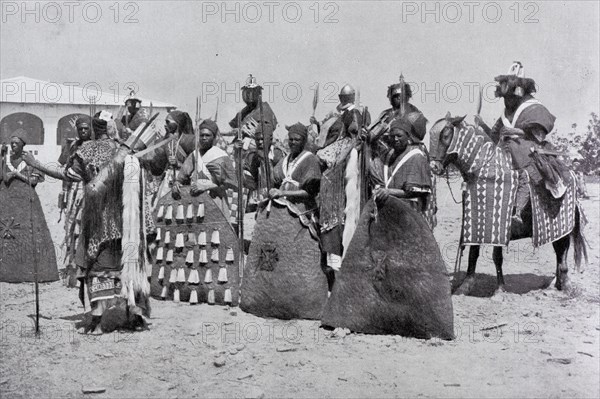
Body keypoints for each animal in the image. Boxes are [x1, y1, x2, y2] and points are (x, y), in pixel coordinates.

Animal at [428, 114, 588, 296]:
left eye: (445, 135)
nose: (434, 167)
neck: (486, 171)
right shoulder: (476, 225)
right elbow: (474, 254)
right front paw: (466, 286)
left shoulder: (500, 226)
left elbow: (496, 257)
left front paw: (499, 290)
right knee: (558, 252)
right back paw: (556, 284)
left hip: (563, 227)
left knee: (562, 252)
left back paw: (566, 286)